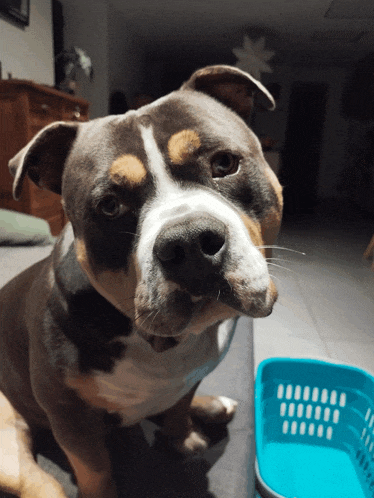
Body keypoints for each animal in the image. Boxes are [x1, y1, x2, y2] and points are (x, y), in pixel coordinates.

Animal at [0, 67, 282, 498]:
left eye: (224, 163)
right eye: (110, 206)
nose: (189, 242)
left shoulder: (189, 376)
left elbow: (179, 408)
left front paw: (183, 437)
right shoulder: (70, 417)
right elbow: (95, 470)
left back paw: (212, 406)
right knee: (40, 483)